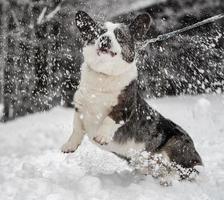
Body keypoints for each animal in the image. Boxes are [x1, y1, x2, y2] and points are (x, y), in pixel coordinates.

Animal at [61, 10, 203, 175]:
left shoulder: (124, 107)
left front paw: (102, 136)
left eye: (119, 36)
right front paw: (69, 146)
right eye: (99, 32)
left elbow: (110, 119)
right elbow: (76, 128)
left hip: (176, 148)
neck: (104, 76)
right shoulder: (80, 107)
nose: (105, 39)